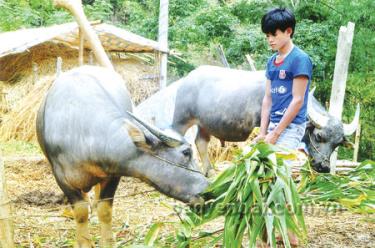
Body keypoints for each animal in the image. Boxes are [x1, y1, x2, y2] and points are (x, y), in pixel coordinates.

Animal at [36, 65, 210, 247]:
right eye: (186, 152)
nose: (209, 191)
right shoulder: (62, 179)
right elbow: (81, 213)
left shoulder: (113, 175)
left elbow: (105, 210)